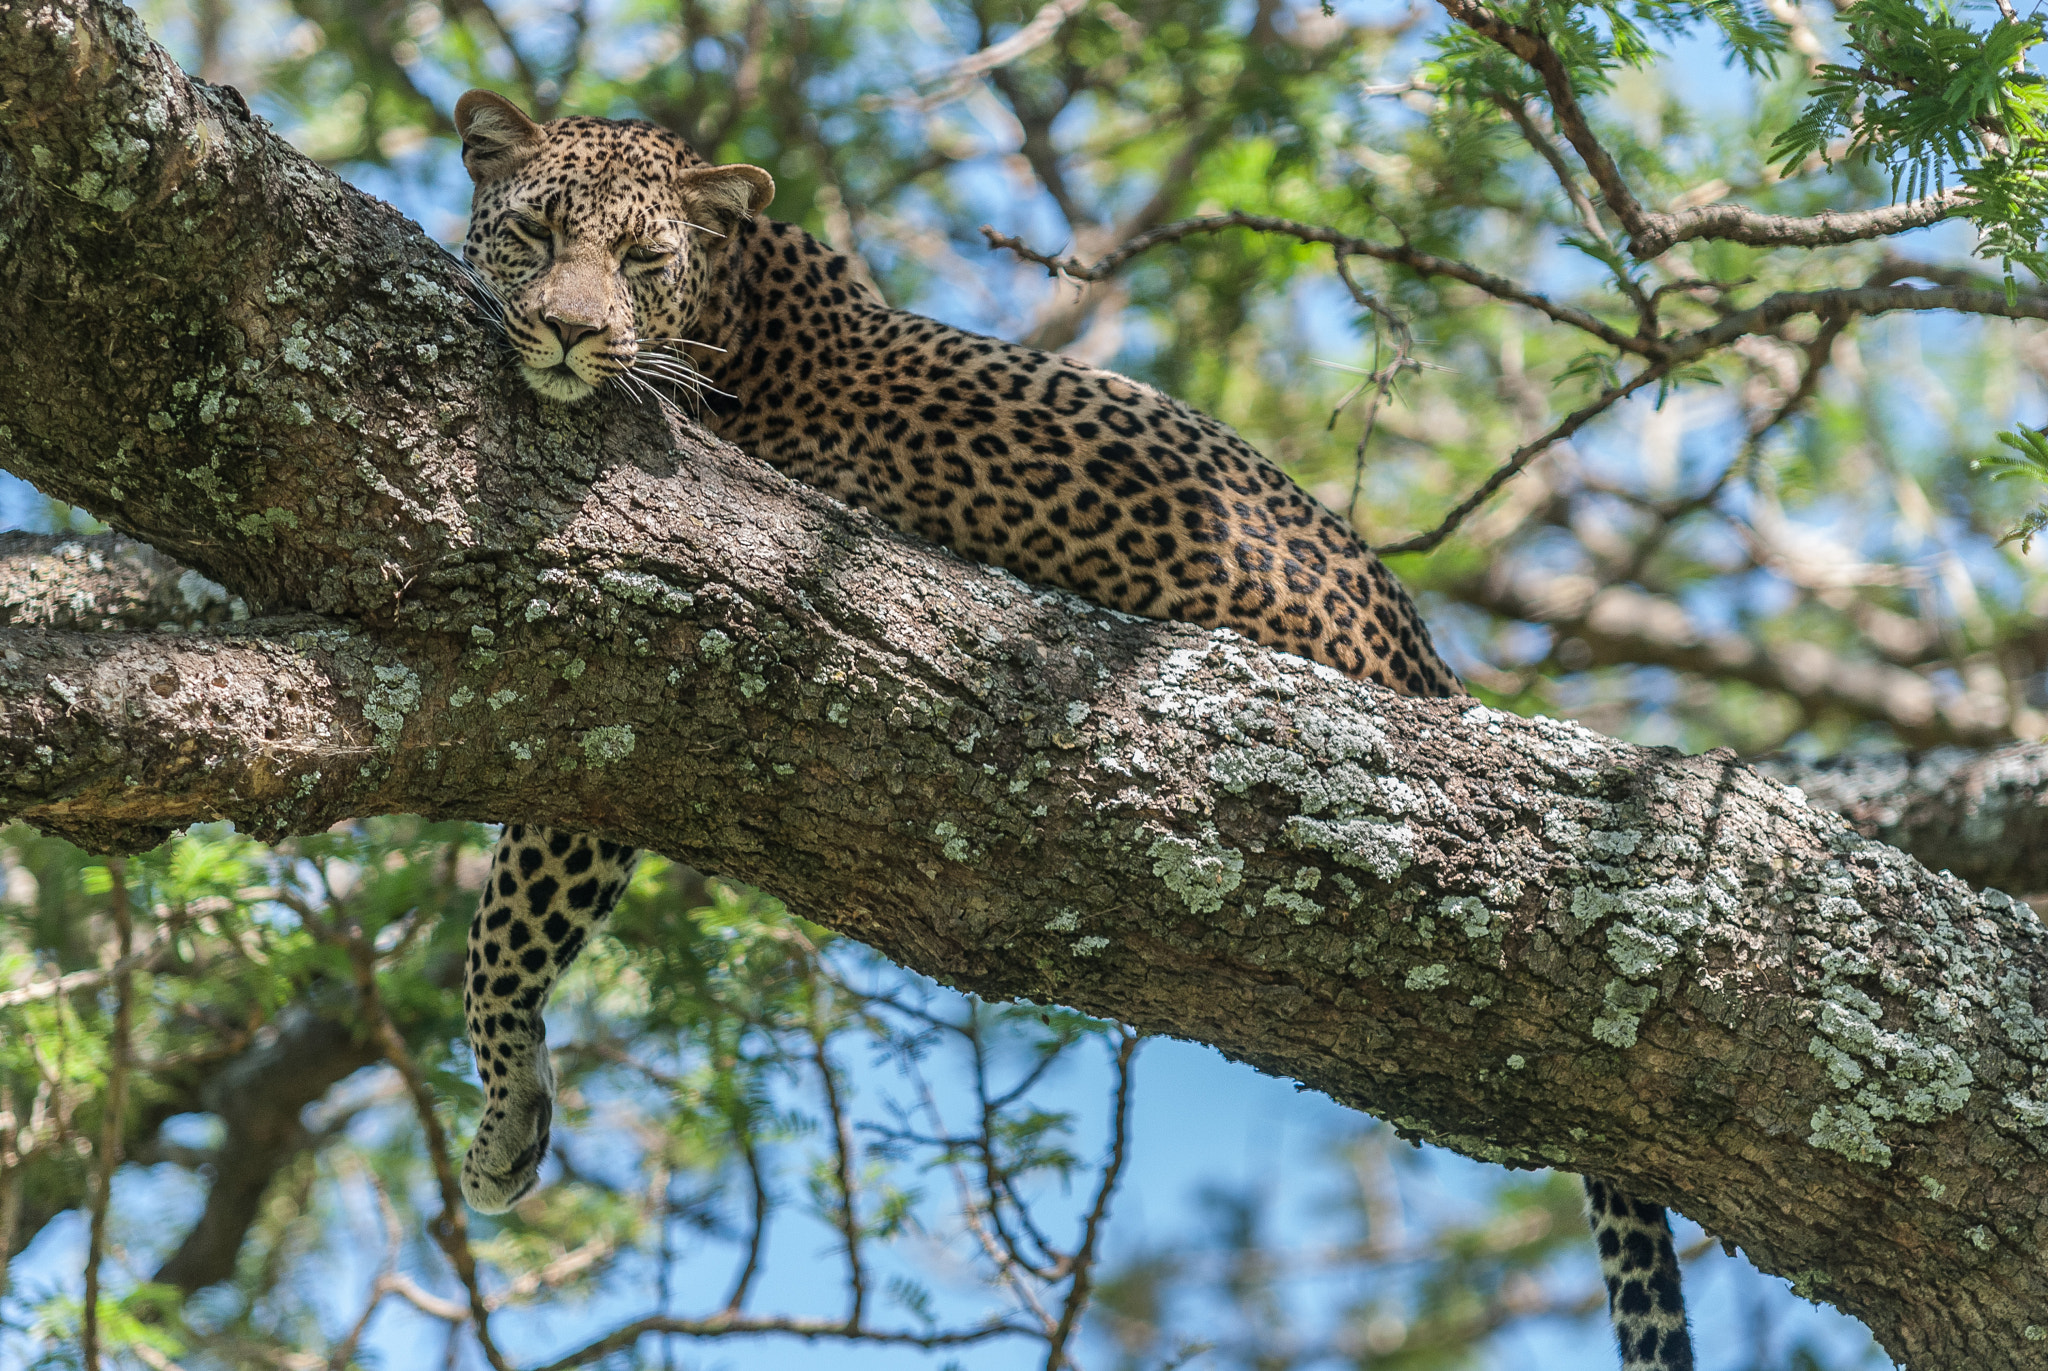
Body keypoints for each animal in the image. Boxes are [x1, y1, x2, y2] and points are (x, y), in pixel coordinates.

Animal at [446, 88, 1694, 1371]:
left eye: (642, 262)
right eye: (535, 234)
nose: (568, 334)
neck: (745, 308)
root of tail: (1427, 671)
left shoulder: (644, 677)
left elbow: (506, 930)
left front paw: (500, 1126)